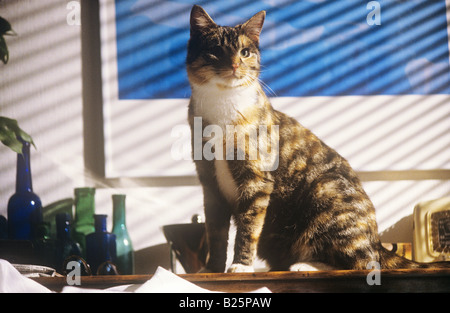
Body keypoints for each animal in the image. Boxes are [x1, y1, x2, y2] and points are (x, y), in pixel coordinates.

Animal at [185, 5, 446, 272]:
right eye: (216, 50)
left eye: (245, 52)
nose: (235, 65)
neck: (222, 104)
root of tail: (377, 240)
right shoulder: (210, 185)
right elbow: (216, 233)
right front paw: (212, 269)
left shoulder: (256, 181)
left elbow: (249, 228)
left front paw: (241, 266)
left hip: (326, 193)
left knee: (363, 262)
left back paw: (304, 265)